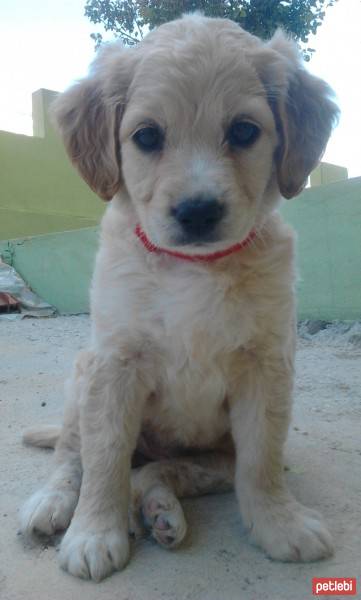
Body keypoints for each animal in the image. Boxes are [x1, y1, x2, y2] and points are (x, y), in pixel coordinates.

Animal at [20, 12, 338, 580]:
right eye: (146, 136)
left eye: (244, 131)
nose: (197, 211)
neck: (194, 268)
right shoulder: (114, 363)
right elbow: (103, 459)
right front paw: (93, 534)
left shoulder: (266, 366)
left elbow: (261, 463)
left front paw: (281, 524)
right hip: (81, 376)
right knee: (72, 454)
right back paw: (55, 503)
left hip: (212, 457)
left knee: (160, 472)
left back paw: (159, 511)